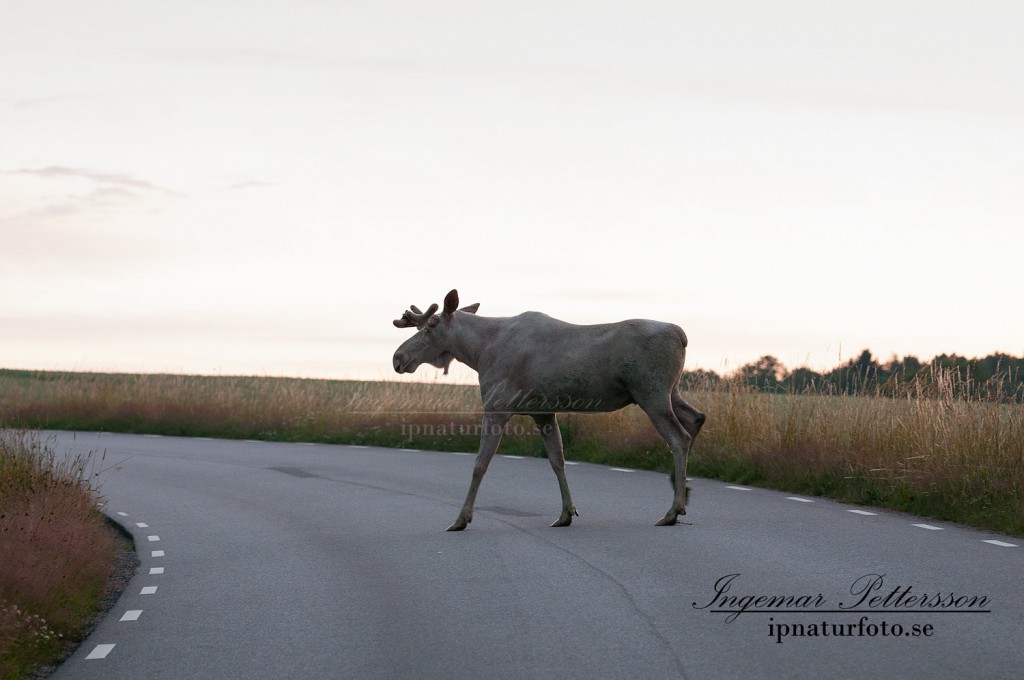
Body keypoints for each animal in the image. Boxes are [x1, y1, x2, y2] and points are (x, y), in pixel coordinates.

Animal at [391, 288, 704, 532]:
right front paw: (566, 513)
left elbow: (480, 464)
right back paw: (683, 491)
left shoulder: (497, 406)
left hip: (651, 393)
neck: (478, 352)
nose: (398, 357)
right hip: (670, 391)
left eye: (431, 324)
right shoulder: (543, 412)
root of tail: (682, 335)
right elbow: (557, 459)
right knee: (696, 418)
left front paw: (460, 519)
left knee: (679, 437)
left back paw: (673, 510)